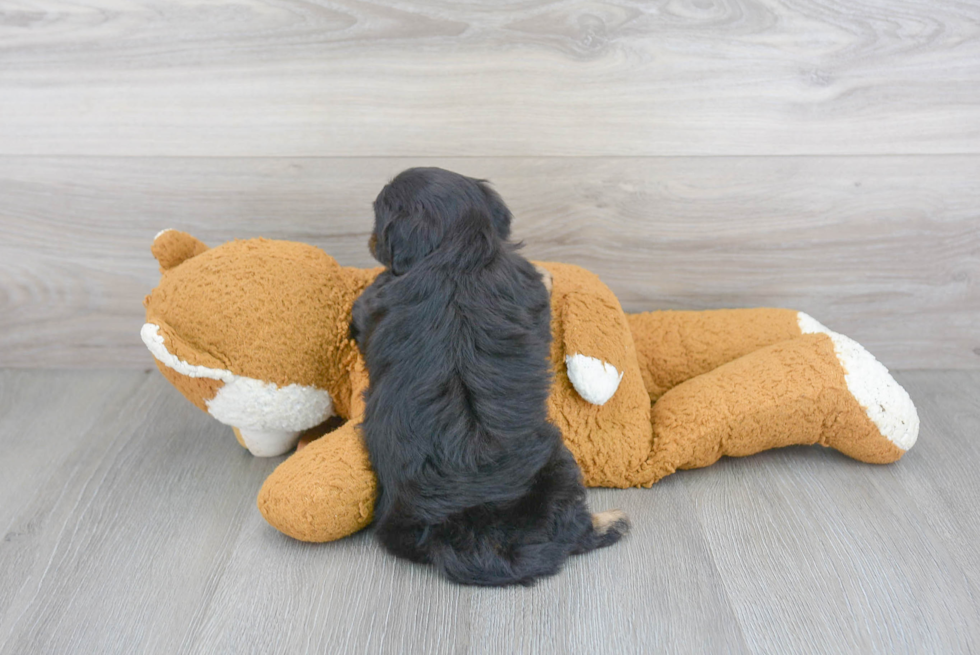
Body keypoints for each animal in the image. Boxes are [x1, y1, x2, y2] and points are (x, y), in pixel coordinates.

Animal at [352, 167, 628, 588]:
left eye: (376, 219)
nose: (367, 241)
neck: (457, 250)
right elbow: (542, 279)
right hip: (559, 463)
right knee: (573, 531)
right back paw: (611, 521)